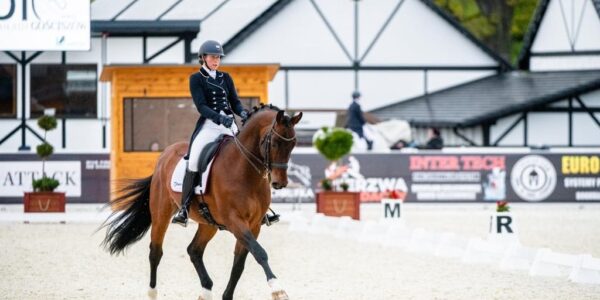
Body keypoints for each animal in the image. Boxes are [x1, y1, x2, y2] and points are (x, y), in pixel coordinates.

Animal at [102, 106, 304, 300]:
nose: (280, 183)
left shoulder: (253, 225)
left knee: (194, 250)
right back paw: (152, 293)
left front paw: (227, 296)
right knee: (155, 252)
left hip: (208, 223)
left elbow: (240, 263)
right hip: (161, 213)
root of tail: (164, 155)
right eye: (275, 143)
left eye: (293, 144)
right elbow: (260, 252)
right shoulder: (235, 221)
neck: (244, 171)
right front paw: (278, 290)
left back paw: (206, 290)